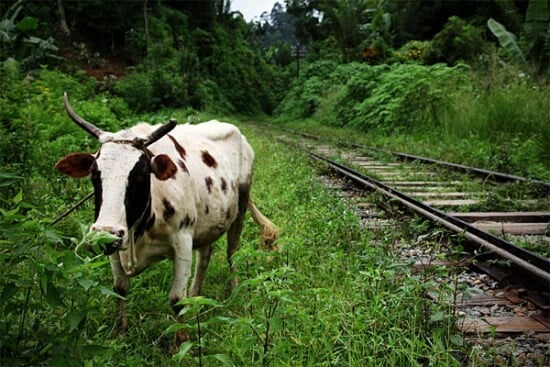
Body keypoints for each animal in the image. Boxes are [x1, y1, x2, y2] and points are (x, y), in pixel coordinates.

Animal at [55, 93, 280, 344]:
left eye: (141, 174)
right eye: (95, 173)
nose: (106, 233)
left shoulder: (182, 241)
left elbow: (176, 300)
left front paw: (180, 342)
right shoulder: (115, 246)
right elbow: (120, 289)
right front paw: (120, 336)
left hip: (241, 202)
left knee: (232, 252)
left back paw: (233, 292)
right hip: (210, 218)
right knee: (205, 255)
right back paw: (196, 296)